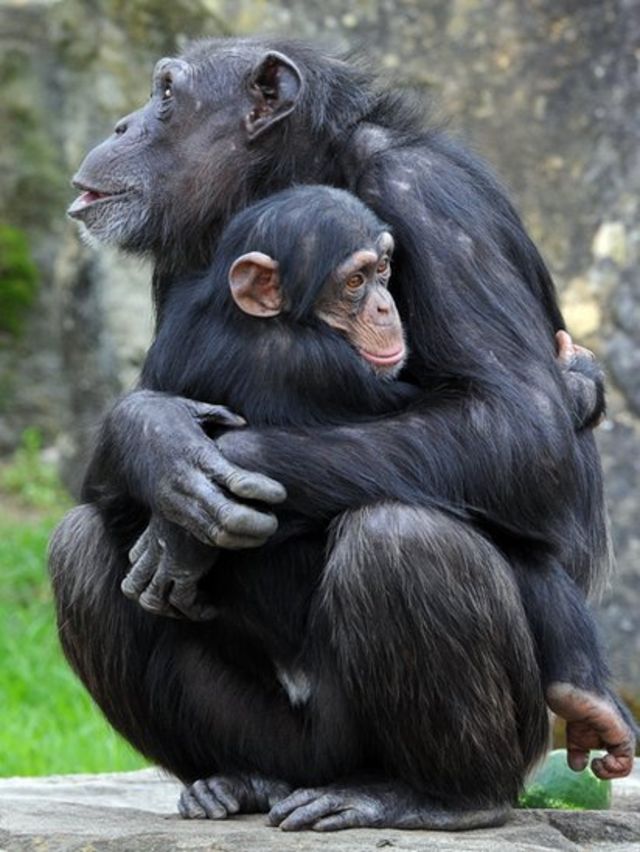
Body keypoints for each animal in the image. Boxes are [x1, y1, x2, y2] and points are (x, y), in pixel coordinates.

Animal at [51, 36, 636, 828]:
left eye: (166, 95)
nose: (121, 124)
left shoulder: (434, 200)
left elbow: (523, 429)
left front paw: (188, 480)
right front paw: (152, 441)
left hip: (451, 746)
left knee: (402, 541)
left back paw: (438, 797)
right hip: (276, 737)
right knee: (79, 548)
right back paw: (233, 780)